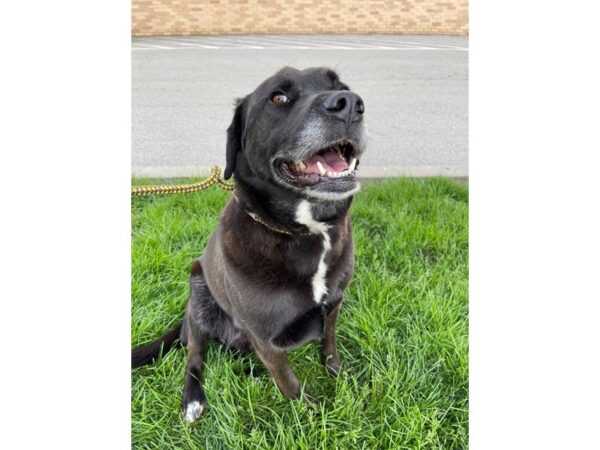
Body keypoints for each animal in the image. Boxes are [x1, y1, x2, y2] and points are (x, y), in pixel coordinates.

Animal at [132, 66, 366, 422]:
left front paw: (338, 375)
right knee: (194, 357)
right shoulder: (264, 337)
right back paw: (193, 399)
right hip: (198, 297)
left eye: (340, 85)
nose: (351, 104)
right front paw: (311, 416)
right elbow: (289, 382)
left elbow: (329, 345)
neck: (307, 231)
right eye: (278, 98)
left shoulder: (334, 303)